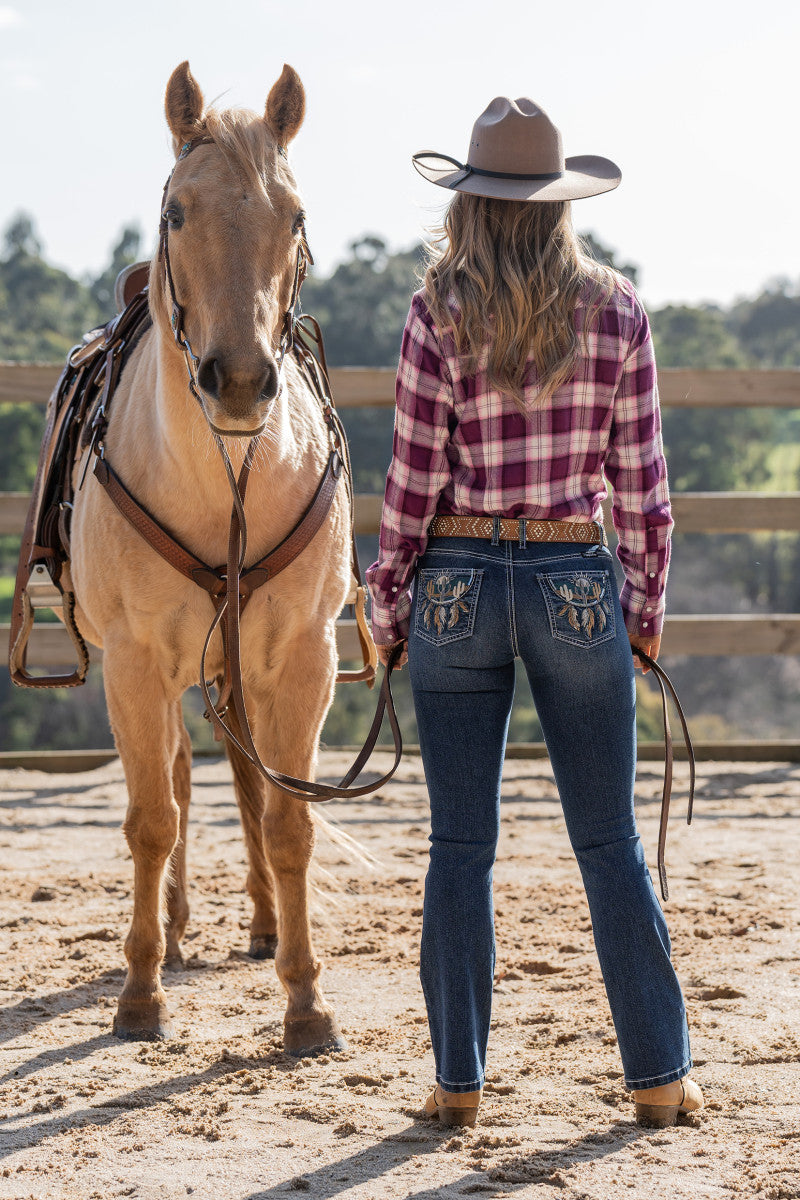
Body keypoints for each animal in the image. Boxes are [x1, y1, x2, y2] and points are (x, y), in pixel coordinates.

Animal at [70, 63, 352, 1051]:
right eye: (178, 211)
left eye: (295, 215)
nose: (238, 380)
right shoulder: (135, 662)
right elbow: (152, 820)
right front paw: (139, 991)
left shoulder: (305, 658)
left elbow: (289, 820)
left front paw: (304, 1001)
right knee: (184, 782)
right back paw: (177, 928)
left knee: (239, 778)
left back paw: (263, 923)